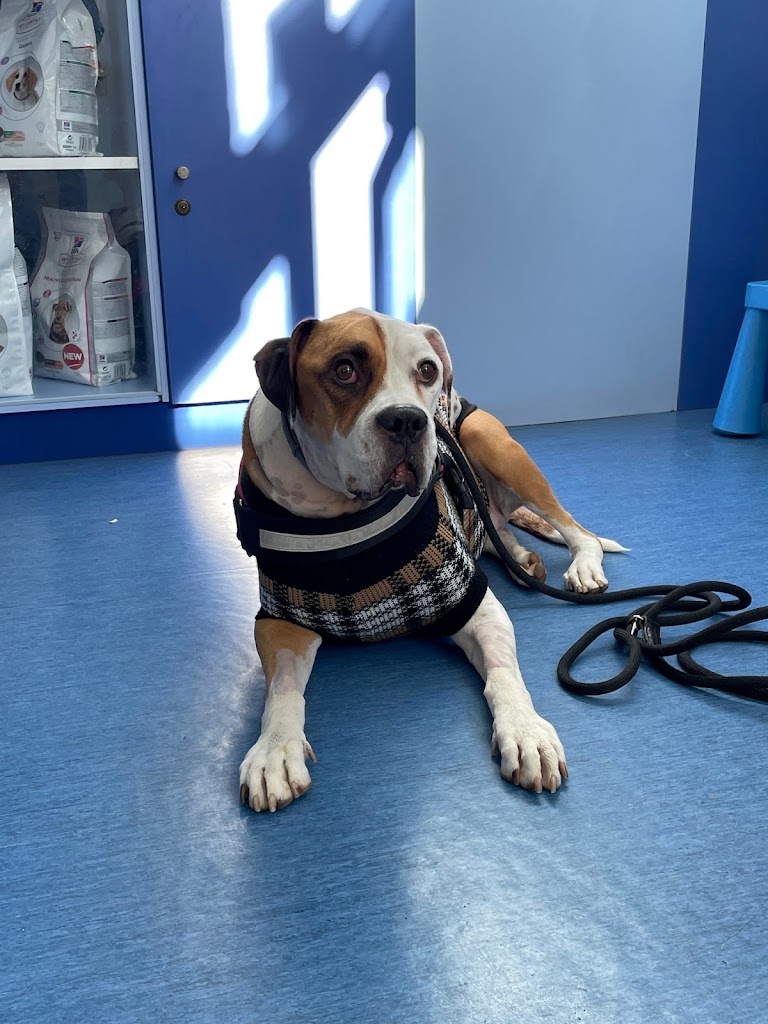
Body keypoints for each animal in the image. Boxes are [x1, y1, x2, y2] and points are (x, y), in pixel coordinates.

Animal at [237, 309, 623, 812]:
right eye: (344, 370)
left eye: (426, 370)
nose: (408, 420)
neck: (346, 517)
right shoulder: (281, 622)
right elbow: (281, 691)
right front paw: (273, 750)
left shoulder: (476, 604)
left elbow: (504, 675)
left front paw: (525, 730)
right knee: (495, 526)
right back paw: (521, 557)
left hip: (490, 442)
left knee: (577, 531)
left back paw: (581, 566)